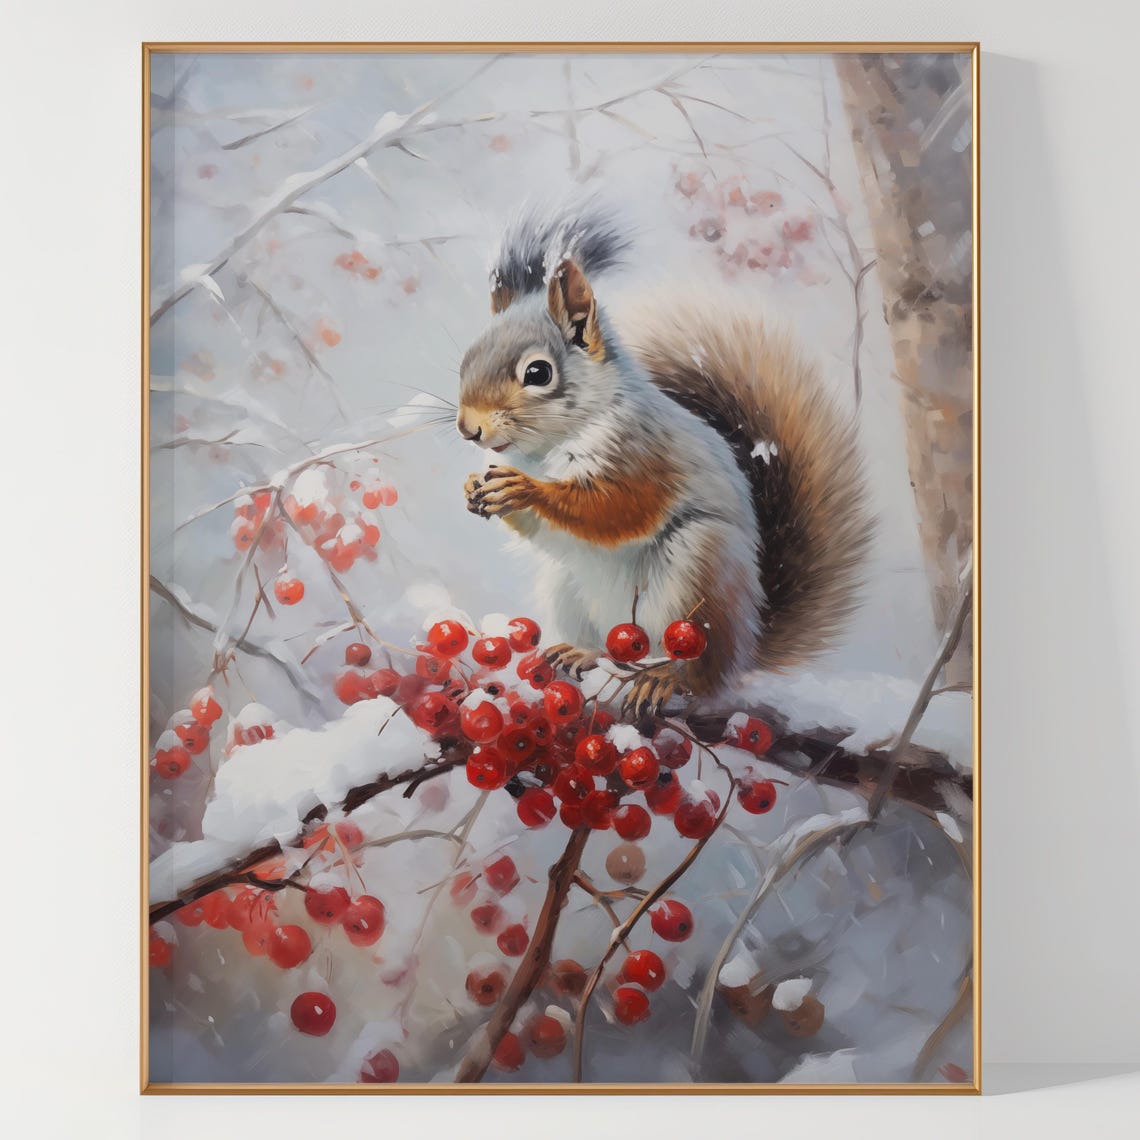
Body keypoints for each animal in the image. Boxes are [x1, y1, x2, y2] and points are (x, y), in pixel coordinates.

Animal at [456, 202, 870, 715]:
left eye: (538, 372)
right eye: (466, 359)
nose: (468, 427)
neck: (546, 449)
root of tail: (748, 643)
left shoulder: (645, 458)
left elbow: (617, 509)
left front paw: (526, 490)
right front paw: (474, 489)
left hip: (699, 574)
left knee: (702, 675)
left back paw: (665, 678)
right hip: (569, 591)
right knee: (606, 646)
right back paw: (581, 653)